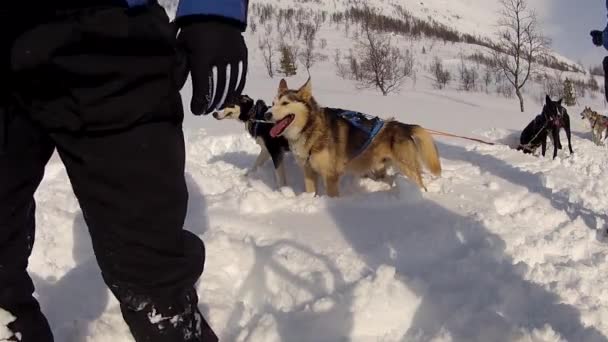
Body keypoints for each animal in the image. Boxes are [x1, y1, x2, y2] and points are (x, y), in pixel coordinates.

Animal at [264, 76, 440, 196]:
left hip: (408, 169)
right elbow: (311, 192)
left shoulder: (331, 176)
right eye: (272, 104)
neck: (311, 128)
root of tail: (403, 126)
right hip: (380, 169)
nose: (266, 114)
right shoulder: (309, 172)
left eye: (285, 103)